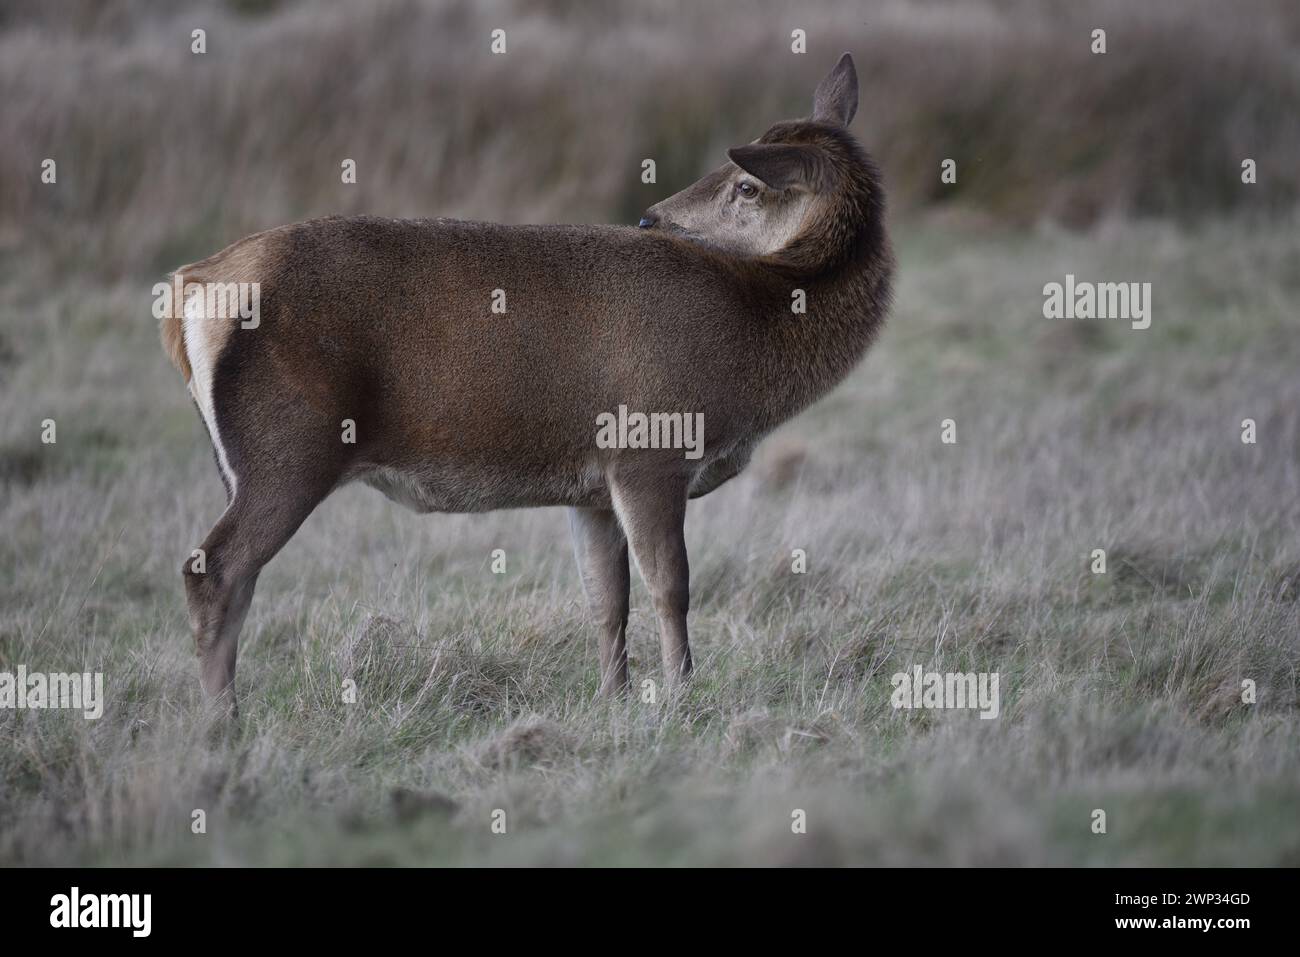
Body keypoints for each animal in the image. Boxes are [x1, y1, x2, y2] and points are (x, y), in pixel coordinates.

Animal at [159, 48, 894, 712]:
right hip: (287, 446)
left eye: (747, 185)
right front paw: (682, 694)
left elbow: (606, 598)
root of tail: (191, 285)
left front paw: (614, 698)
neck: (749, 350)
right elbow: (672, 586)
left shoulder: (593, 483)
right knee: (214, 568)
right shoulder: (648, 444)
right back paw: (222, 723)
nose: (651, 217)